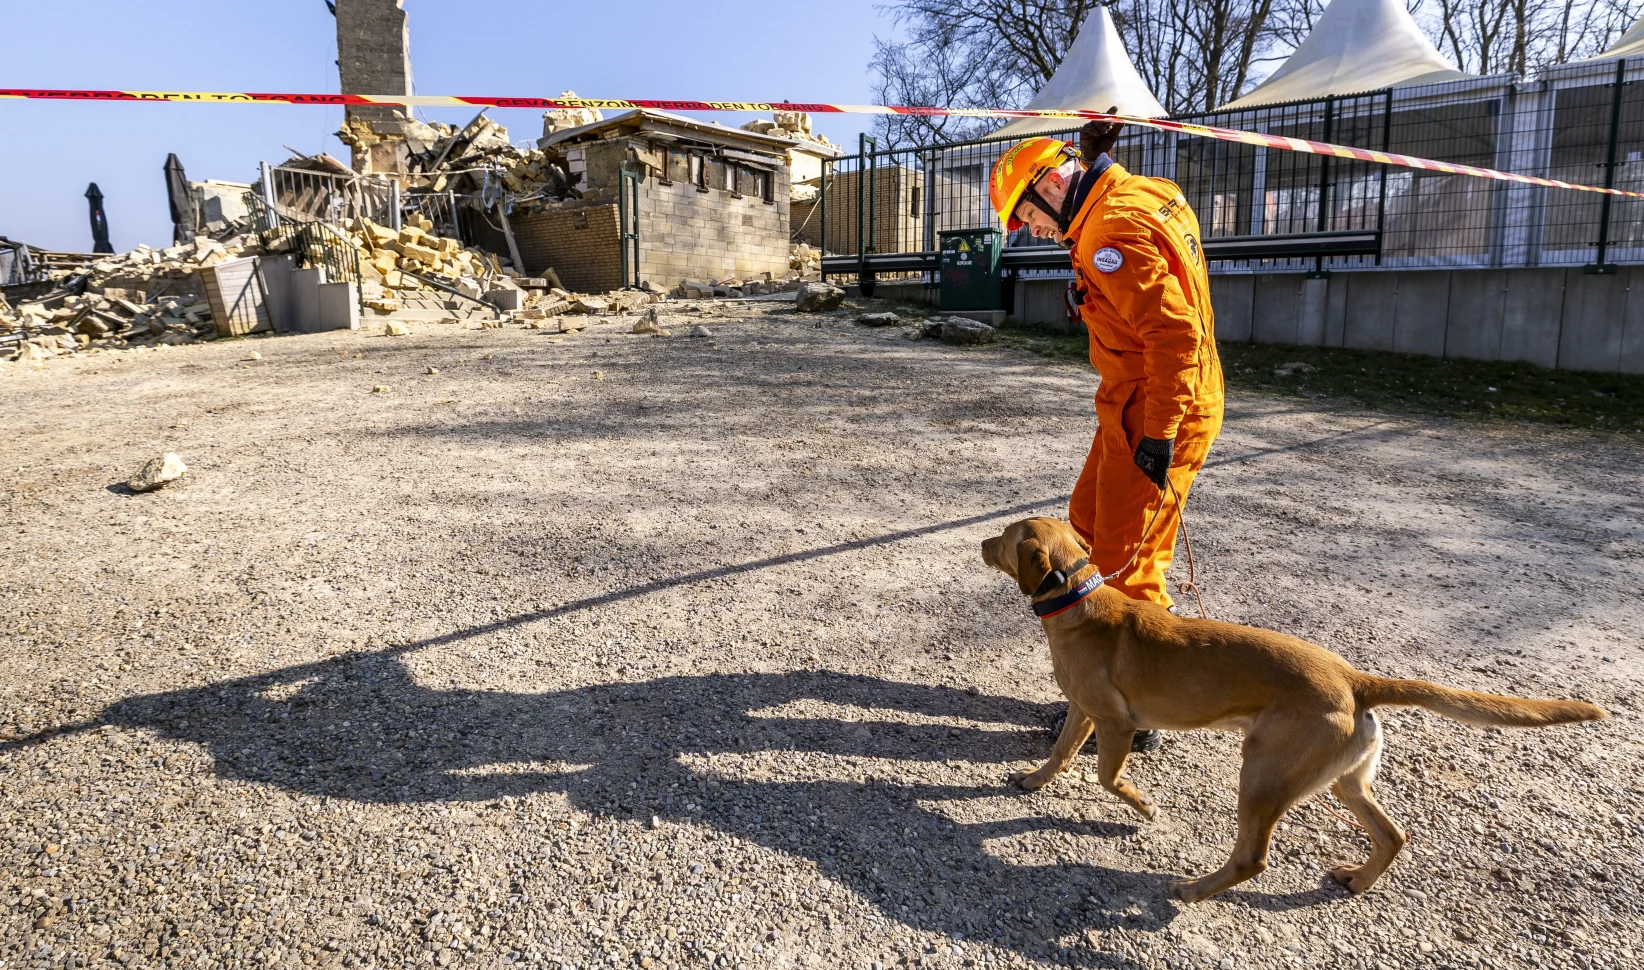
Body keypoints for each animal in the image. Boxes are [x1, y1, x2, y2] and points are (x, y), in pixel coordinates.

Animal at [973, 516, 1604, 907]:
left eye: (1004, 537)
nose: (979, 542)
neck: (1078, 599)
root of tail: (1354, 679)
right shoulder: (1082, 713)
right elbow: (1059, 755)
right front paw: (1032, 781)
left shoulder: (1116, 723)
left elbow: (1108, 777)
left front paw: (1141, 807)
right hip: (1344, 781)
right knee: (1393, 834)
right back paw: (1358, 879)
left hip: (1261, 776)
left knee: (1253, 859)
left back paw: (1193, 890)